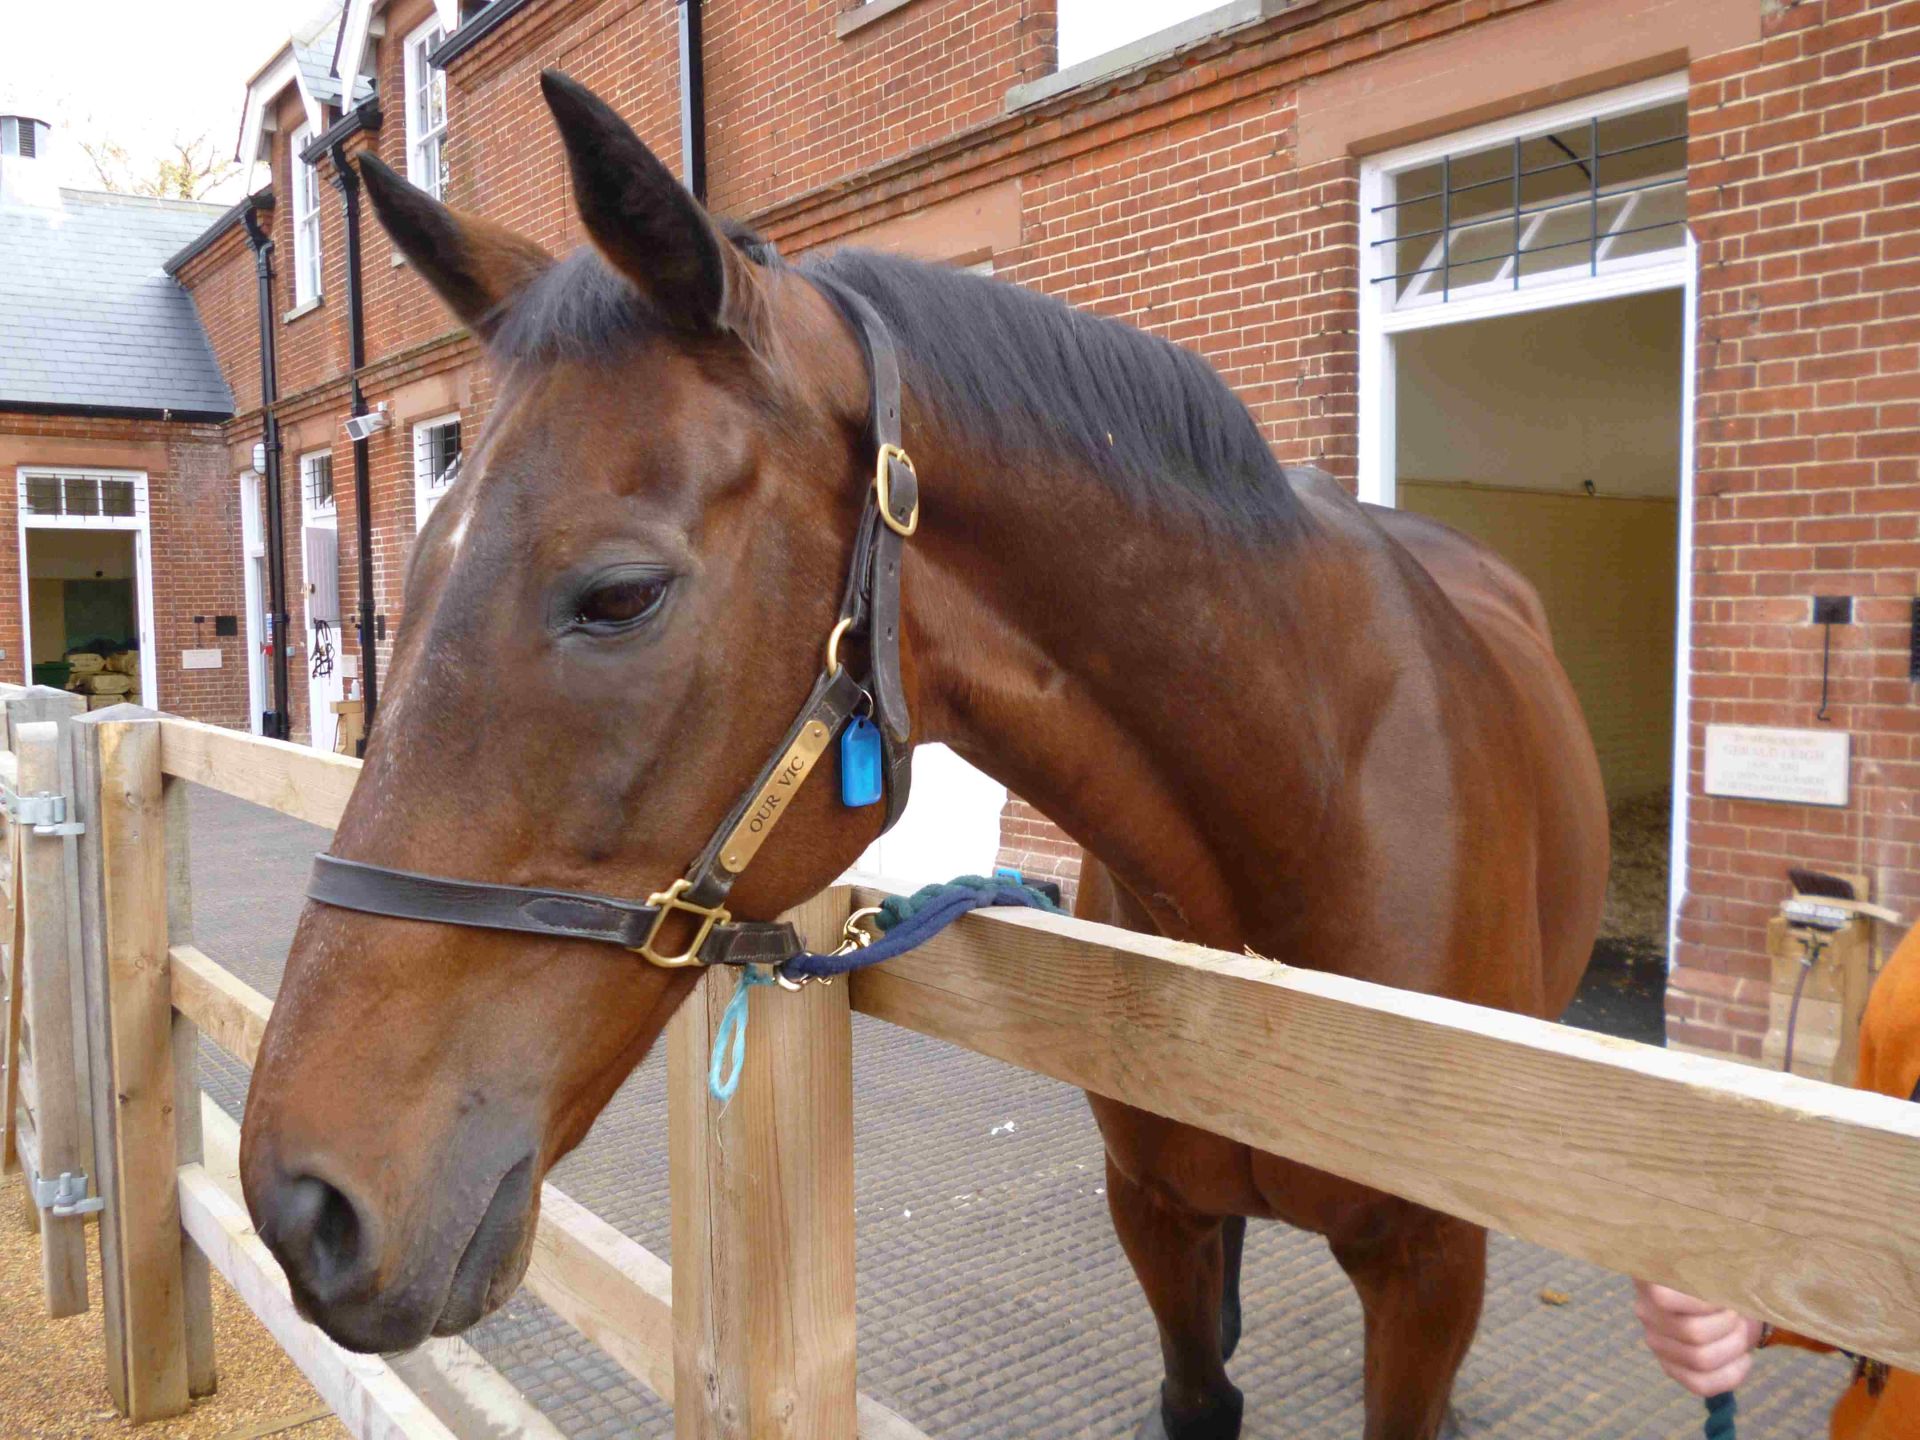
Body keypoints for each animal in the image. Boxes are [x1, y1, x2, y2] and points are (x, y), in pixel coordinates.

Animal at [239, 72, 1607, 1440]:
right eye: (409, 571)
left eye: (620, 596)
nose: (302, 1206)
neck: (1306, 815)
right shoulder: (1153, 1210)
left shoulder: (1429, 1270)